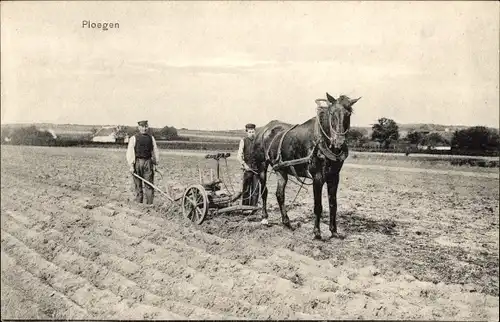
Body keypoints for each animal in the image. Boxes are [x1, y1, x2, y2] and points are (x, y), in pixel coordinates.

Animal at [252, 92, 362, 240]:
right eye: (332, 113)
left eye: (348, 113)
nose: (338, 141)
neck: (321, 141)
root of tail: (265, 129)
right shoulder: (317, 178)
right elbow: (318, 206)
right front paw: (317, 232)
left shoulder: (334, 177)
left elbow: (333, 204)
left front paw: (334, 231)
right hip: (262, 166)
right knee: (264, 191)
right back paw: (265, 218)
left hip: (281, 169)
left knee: (280, 194)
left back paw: (286, 222)